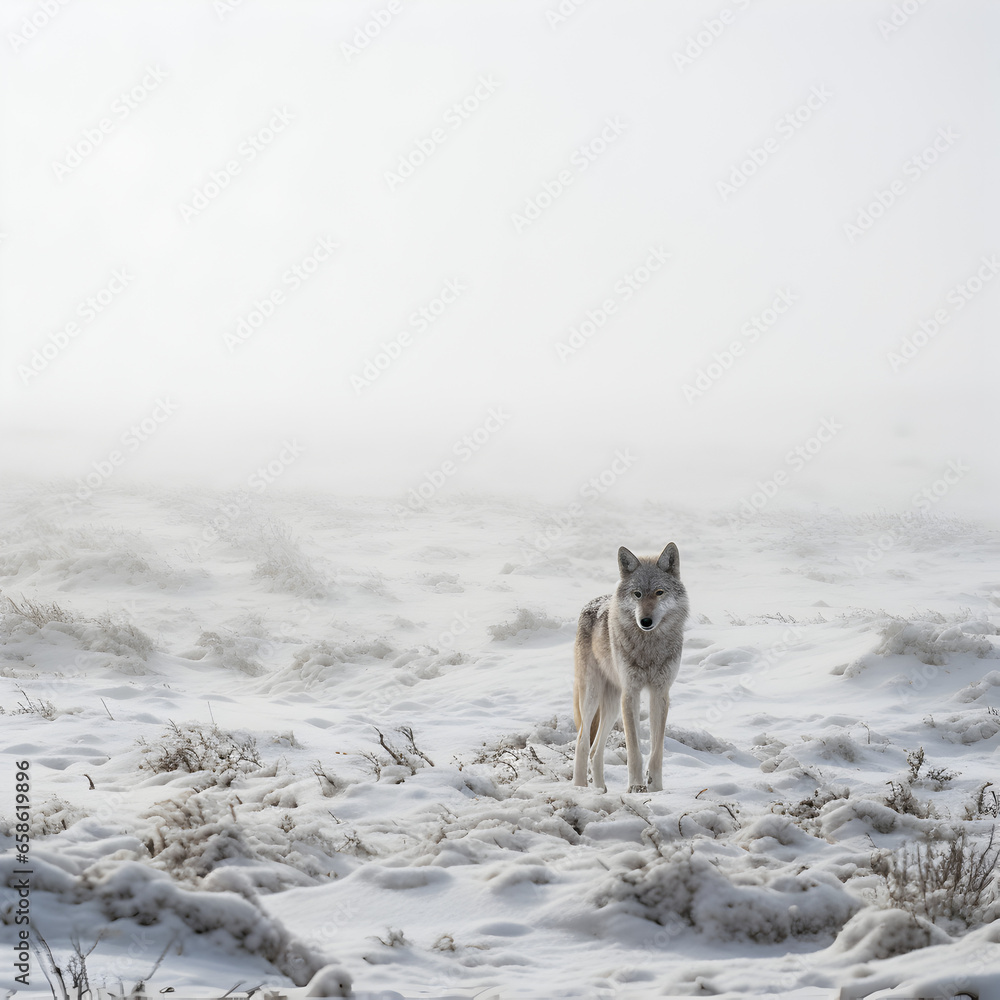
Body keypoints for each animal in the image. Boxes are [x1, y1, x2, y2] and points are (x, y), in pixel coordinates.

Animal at [573, 543, 688, 793]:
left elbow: (657, 750)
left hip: (612, 706)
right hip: (592, 698)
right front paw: (635, 786)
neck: (649, 648)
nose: (645, 621)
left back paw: (599, 790)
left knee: (595, 751)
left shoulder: (660, 694)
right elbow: (634, 750)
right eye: (637, 594)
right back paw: (579, 788)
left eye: (659, 592)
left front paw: (656, 788)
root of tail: (590, 604)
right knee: (581, 741)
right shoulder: (631, 693)